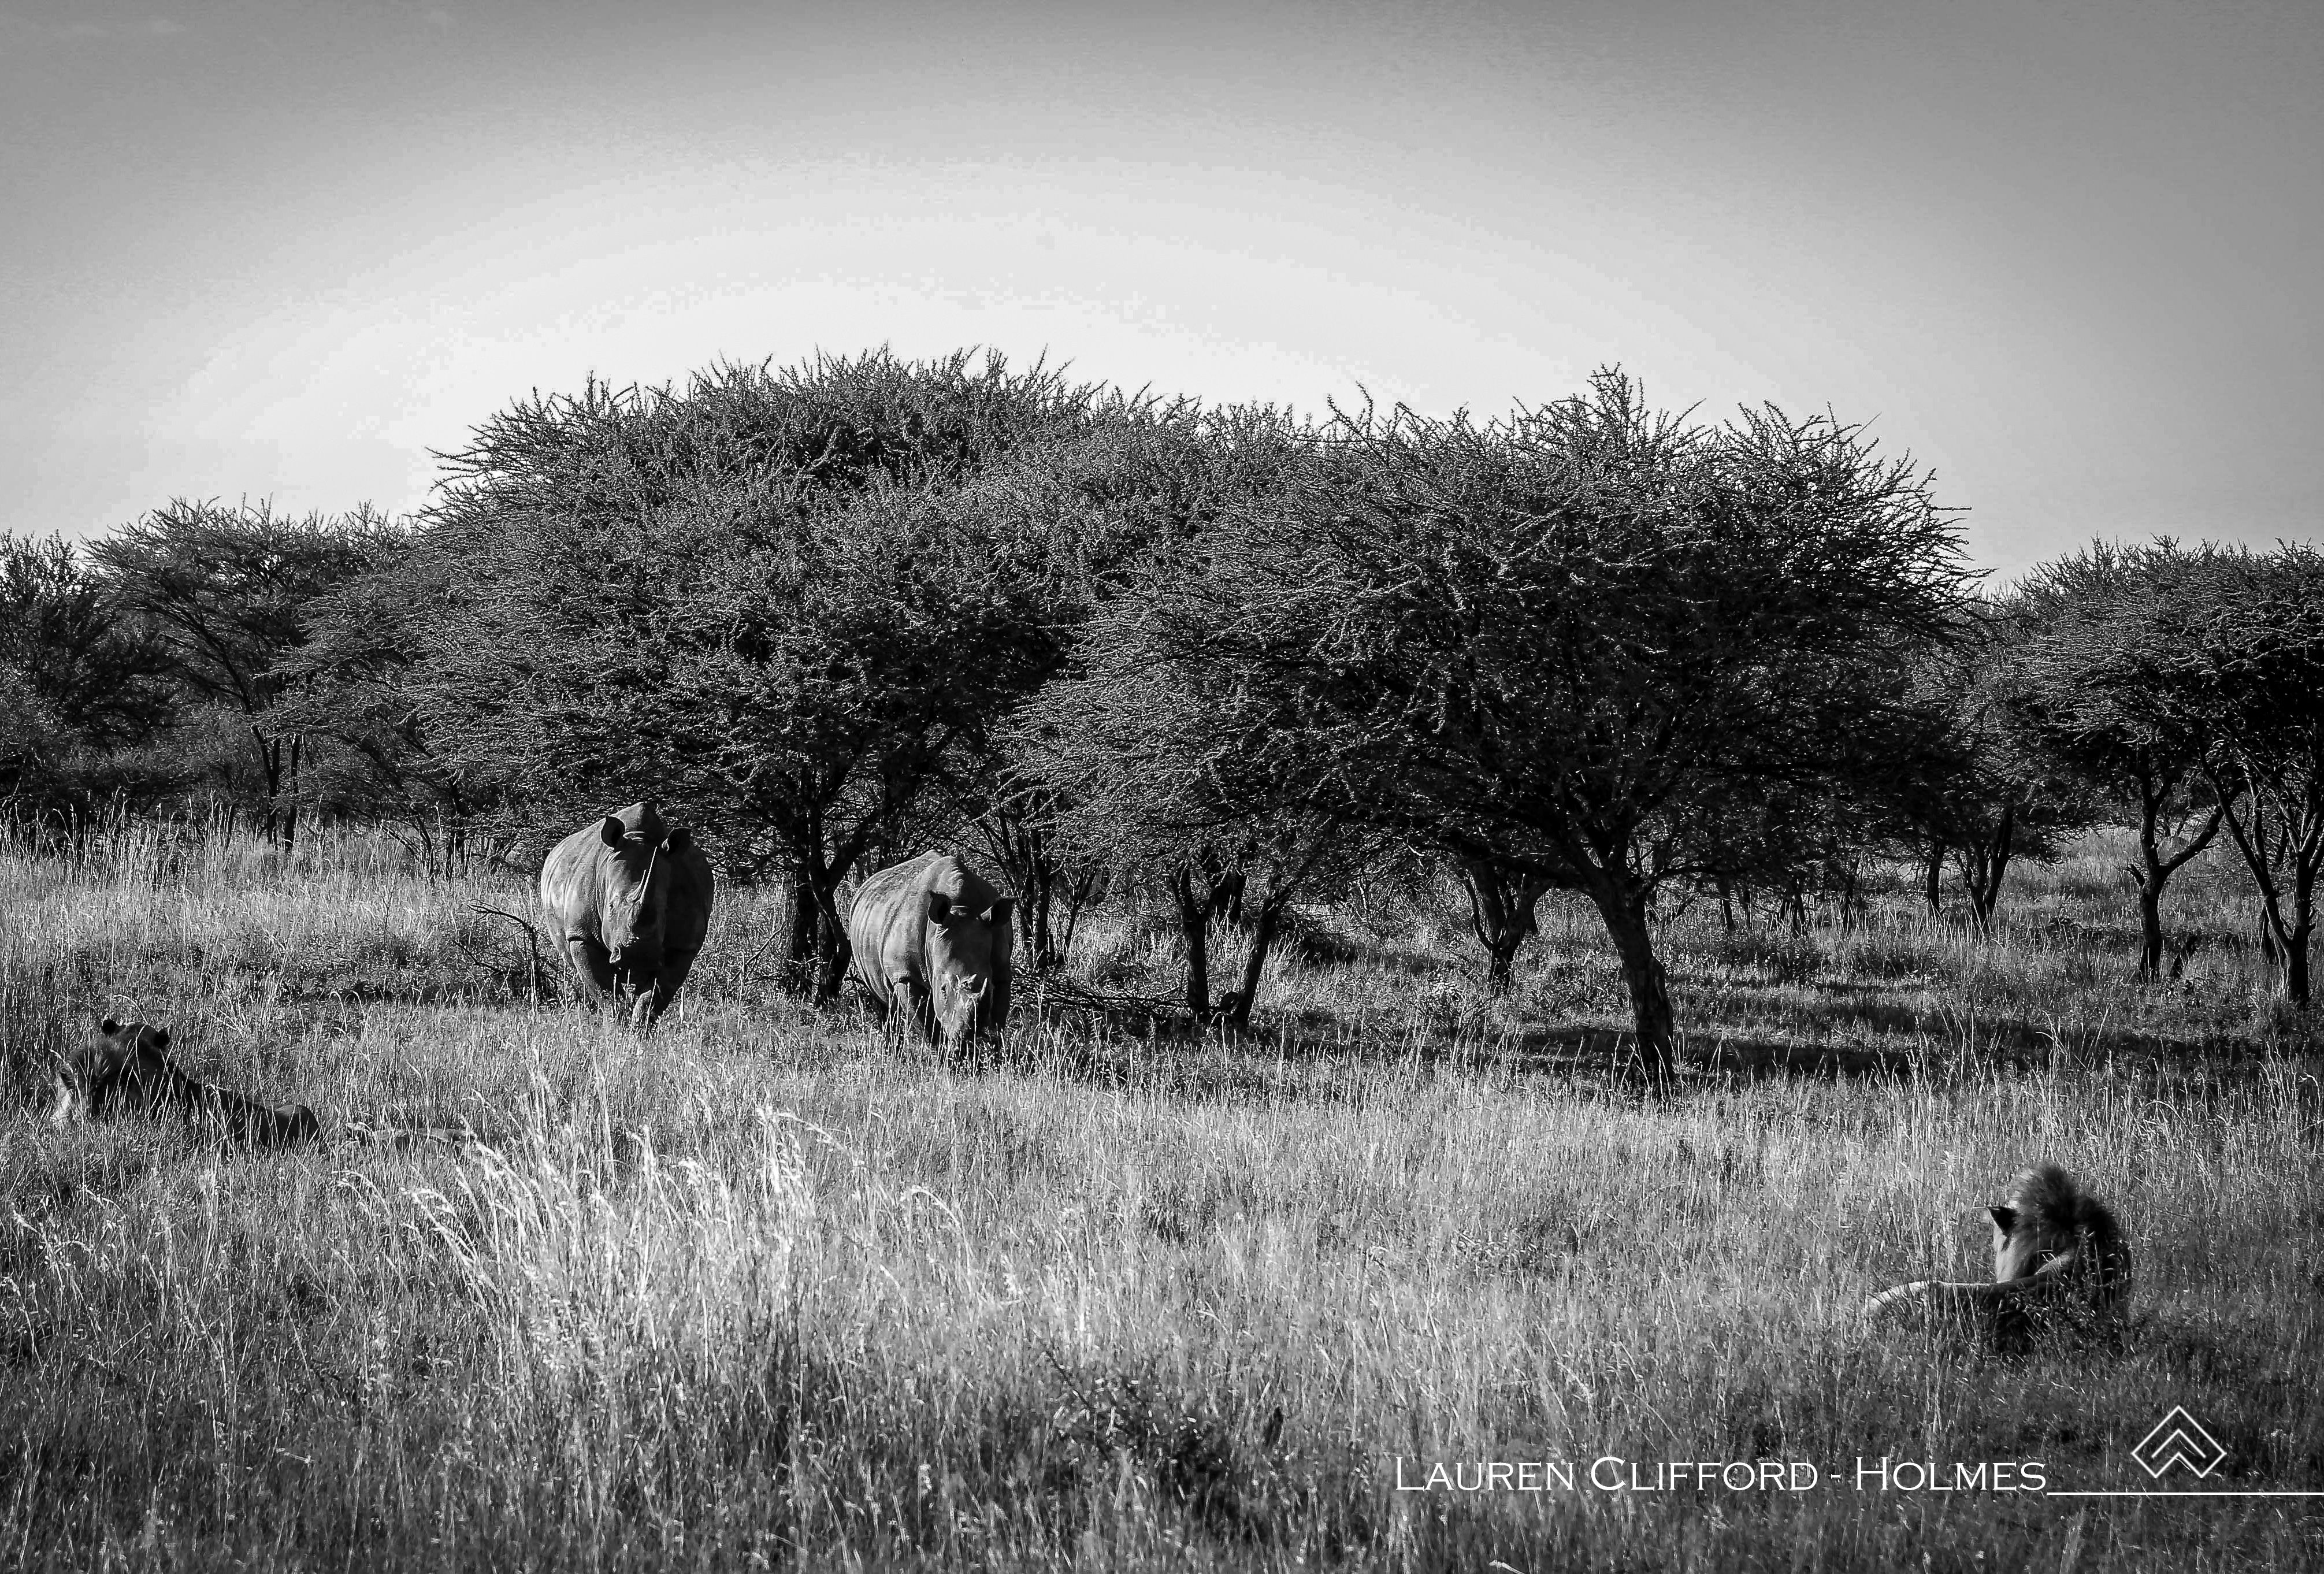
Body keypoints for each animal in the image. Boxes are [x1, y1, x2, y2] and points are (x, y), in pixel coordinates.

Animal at [539, 799, 715, 1026]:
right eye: (611, 907)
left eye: (666, 911)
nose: (639, 956)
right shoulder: (581, 936)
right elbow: (605, 991)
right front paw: (617, 1027)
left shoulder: (683, 947)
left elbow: (655, 996)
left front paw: (640, 1030)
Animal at [846, 851, 1014, 1046]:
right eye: (943, 989)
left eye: (991, 986)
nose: (970, 1040)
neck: (962, 908)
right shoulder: (905, 975)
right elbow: (927, 1025)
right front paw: (941, 1052)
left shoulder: (1002, 972)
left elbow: (998, 1020)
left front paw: (991, 1050)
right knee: (883, 1002)